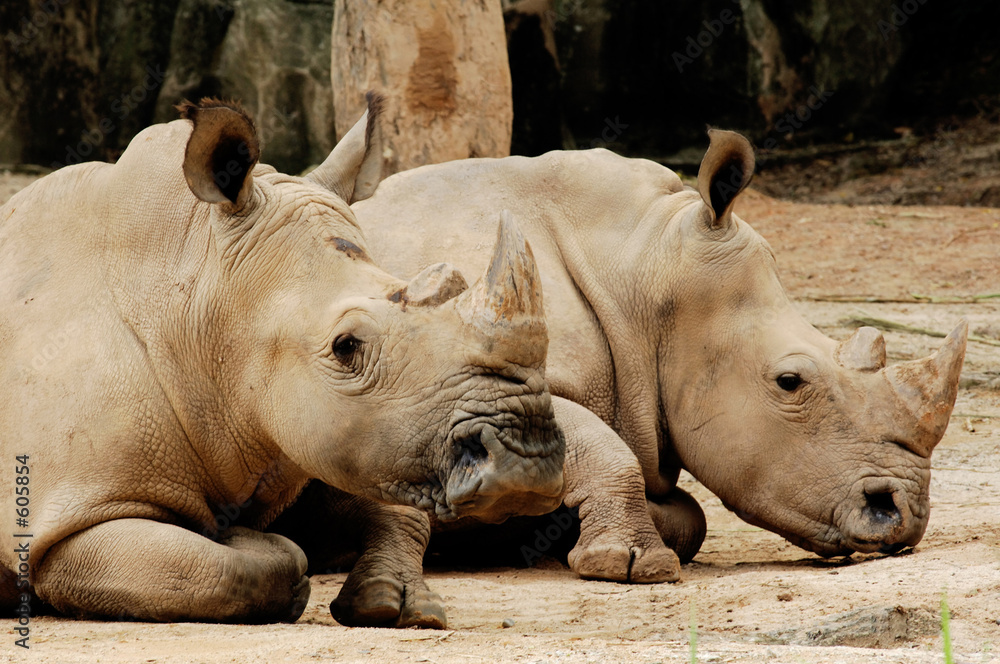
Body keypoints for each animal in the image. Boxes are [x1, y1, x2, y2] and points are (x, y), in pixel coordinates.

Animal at [0, 95, 565, 624]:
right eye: (346, 347)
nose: (528, 458)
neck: (196, 294)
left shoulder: (306, 434)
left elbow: (384, 505)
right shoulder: (70, 518)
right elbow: (245, 565)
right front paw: (242, 539)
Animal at [282, 128, 967, 627]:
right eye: (790, 381)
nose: (903, 516)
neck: (642, 267)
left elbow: (684, 510)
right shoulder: (467, 378)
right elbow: (602, 447)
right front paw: (628, 564)